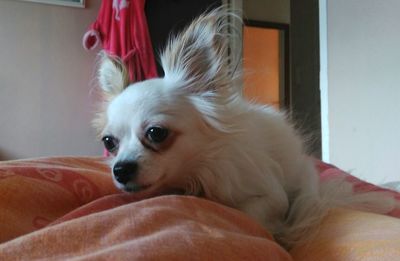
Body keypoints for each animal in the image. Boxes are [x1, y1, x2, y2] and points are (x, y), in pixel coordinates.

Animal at [94, 8, 396, 248]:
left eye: (156, 133)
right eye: (109, 142)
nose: (120, 169)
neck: (196, 172)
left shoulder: (272, 196)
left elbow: (246, 213)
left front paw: (276, 230)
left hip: (304, 185)